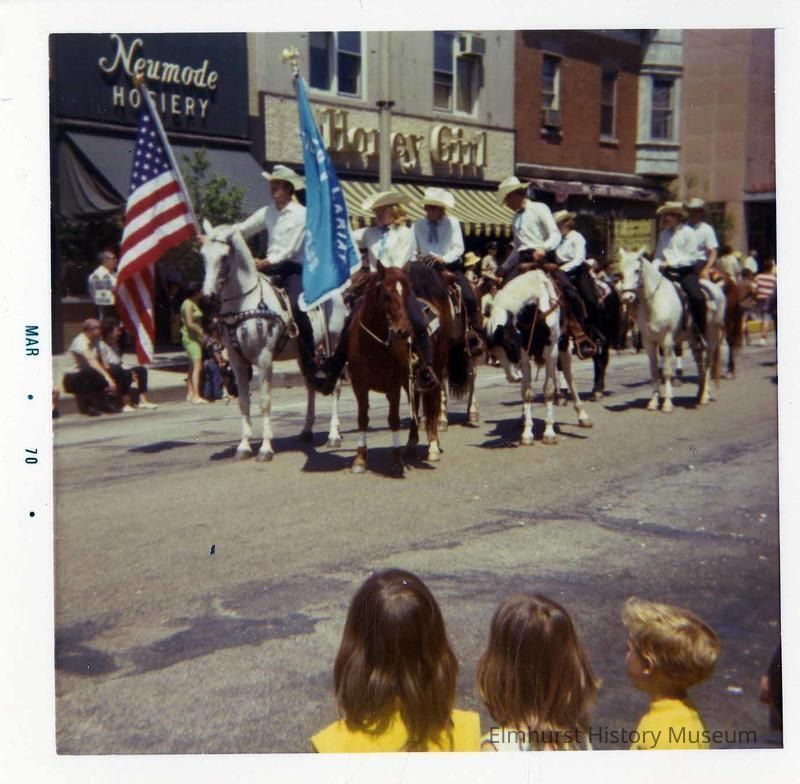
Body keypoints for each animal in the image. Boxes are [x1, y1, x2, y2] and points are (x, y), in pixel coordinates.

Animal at [200, 219, 346, 461]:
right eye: (203, 255)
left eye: (223, 256)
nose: (207, 296)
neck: (245, 302)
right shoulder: (237, 361)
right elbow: (244, 402)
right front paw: (243, 446)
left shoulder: (264, 358)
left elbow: (265, 402)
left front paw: (265, 448)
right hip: (303, 355)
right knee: (310, 386)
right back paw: (306, 430)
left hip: (333, 345)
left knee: (335, 387)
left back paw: (334, 434)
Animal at [347, 262, 452, 475]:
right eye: (386, 295)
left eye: (406, 295)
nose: (404, 330)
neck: (372, 345)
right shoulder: (359, 385)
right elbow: (362, 418)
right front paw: (360, 459)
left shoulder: (393, 384)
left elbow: (393, 419)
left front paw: (396, 459)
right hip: (411, 379)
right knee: (416, 404)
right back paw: (411, 443)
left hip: (436, 366)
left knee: (434, 403)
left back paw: (433, 446)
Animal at [486, 270, 593, 446]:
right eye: (494, 352)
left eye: (510, 346)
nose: (512, 378)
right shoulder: (524, 354)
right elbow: (527, 391)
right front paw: (527, 433)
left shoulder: (551, 351)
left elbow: (548, 389)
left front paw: (549, 433)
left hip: (564, 348)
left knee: (569, 377)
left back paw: (583, 416)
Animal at [615, 248, 726, 412]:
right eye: (620, 272)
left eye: (637, 270)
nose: (627, 297)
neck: (655, 302)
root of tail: (716, 288)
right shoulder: (649, 342)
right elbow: (654, 371)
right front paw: (653, 402)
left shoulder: (667, 341)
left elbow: (666, 371)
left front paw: (667, 402)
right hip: (693, 339)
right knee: (699, 362)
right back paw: (699, 393)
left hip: (712, 336)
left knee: (707, 363)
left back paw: (705, 396)